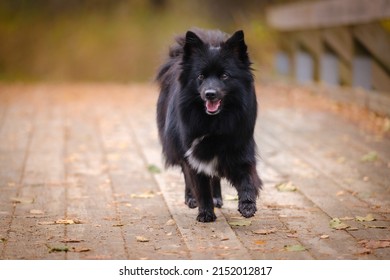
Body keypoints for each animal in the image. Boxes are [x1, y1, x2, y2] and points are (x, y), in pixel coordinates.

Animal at [156, 29, 262, 223]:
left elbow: (247, 177)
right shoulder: (193, 153)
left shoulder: (240, 148)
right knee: (188, 176)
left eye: (225, 76)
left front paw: (247, 205)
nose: (210, 94)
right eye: (201, 76)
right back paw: (191, 198)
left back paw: (217, 197)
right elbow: (200, 185)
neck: (215, 123)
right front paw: (205, 212)